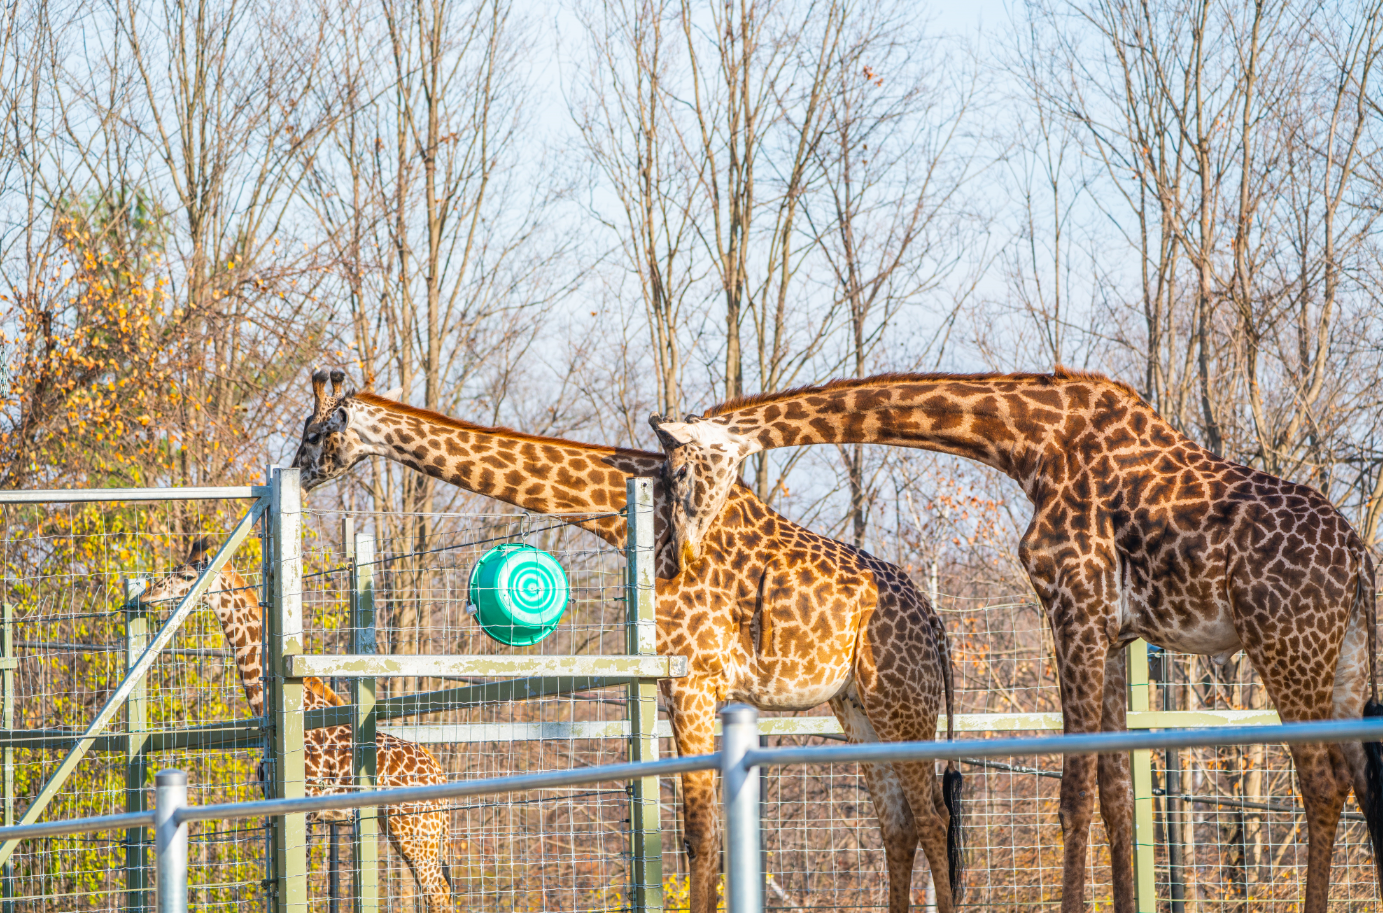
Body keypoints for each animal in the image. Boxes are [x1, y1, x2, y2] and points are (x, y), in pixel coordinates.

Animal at [139, 540, 455, 913]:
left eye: (187, 575)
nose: (147, 594)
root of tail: (440, 774)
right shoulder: (276, 805)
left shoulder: (304, 806)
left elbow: (295, 885)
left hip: (413, 827)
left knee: (439, 894)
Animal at [289, 367, 965, 913]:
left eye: (315, 432)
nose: (298, 471)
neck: (637, 519)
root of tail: (936, 626)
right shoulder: (676, 683)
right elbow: (694, 832)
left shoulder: (694, 679)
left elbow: (700, 833)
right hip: (858, 707)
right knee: (898, 824)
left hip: (904, 702)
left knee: (933, 817)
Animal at [649, 366, 1383, 913]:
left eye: (678, 474)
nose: (673, 559)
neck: (1029, 443)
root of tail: (1357, 559)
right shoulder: (1112, 632)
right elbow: (1115, 798)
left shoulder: (1074, 605)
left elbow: (1073, 796)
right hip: (1342, 659)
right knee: (1358, 777)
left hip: (1286, 643)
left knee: (1321, 781)